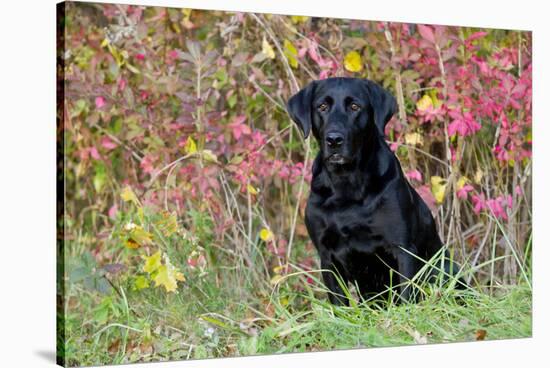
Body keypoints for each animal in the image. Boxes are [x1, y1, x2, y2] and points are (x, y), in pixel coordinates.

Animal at [286, 77, 464, 304]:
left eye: (355, 107)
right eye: (322, 107)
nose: (334, 139)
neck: (346, 184)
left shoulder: (403, 249)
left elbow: (407, 295)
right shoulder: (327, 257)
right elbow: (338, 303)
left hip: (444, 271)